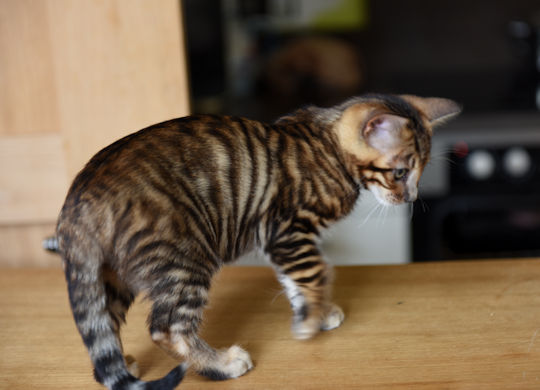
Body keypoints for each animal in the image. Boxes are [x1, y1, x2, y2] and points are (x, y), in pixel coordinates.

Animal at [53, 93, 460, 388]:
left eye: (419, 173)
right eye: (400, 172)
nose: (410, 198)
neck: (326, 144)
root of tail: (79, 201)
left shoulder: (282, 243)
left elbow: (296, 281)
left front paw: (313, 312)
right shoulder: (287, 230)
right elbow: (314, 273)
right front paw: (310, 321)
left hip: (109, 274)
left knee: (102, 321)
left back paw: (120, 365)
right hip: (184, 259)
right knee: (167, 328)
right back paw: (221, 364)